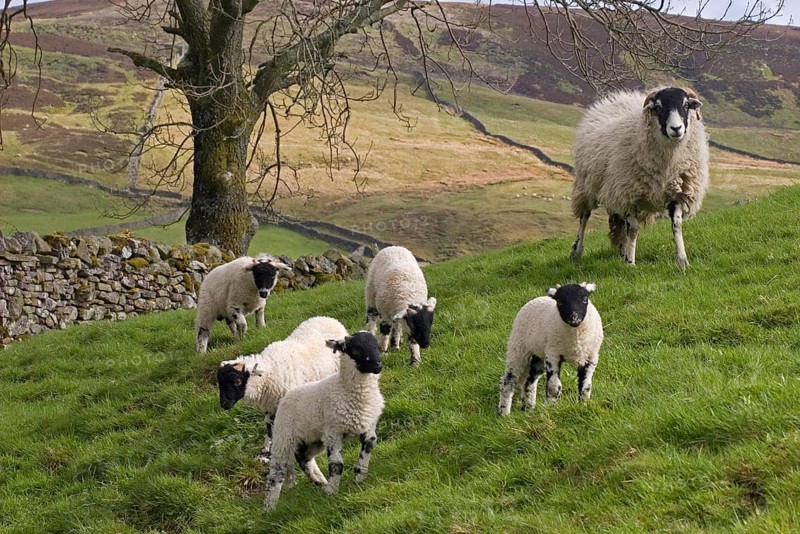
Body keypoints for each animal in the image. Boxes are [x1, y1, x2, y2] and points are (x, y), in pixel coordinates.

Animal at [216, 316, 347, 462]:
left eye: (237, 382)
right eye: (219, 383)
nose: (224, 404)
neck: (271, 369)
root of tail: (328, 318)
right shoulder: (271, 405)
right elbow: (269, 426)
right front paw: (266, 453)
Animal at [263, 331, 385, 512]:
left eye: (376, 345)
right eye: (356, 350)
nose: (378, 365)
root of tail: (284, 396)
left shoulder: (367, 424)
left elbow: (369, 444)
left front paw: (360, 475)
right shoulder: (333, 432)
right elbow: (337, 464)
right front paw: (332, 491)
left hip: (312, 438)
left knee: (303, 457)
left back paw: (319, 481)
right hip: (283, 437)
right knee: (277, 471)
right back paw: (269, 506)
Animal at [498, 283, 603, 416]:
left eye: (585, 299)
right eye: (560, 302)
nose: (574, 319)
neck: (576, 338)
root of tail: (537, 298)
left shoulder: (591, 357)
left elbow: (586, 385)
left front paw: (583, 405)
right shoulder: (554, 355)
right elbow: (554, 387)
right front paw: (552, 408)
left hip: (539, 354)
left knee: (529, 381)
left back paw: (528, 408)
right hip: (518, 346)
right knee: (509, 379)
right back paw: (504, 413)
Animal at [569, 87, 709, 270]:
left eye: (686, 105)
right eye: (658, 107)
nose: (676, 128)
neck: (668, 162)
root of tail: (617, 97)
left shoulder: (678, 193)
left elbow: (677, 225)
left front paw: (682, 261)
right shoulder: (628, 195)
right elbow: (634, 230)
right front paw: (631, 263)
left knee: (620, 224)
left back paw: (622, 251)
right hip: (588, 186)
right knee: (584, 217)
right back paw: (577, 250)